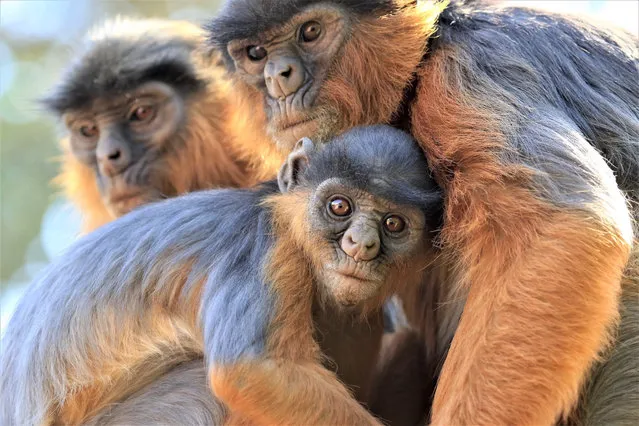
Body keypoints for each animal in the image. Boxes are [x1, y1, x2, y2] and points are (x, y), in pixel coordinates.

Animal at [208, 0, 636, 424]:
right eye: (256, 54)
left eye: (311, 32)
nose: (278, 79)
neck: (425, 57)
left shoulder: (465, 77)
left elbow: (563, 224)